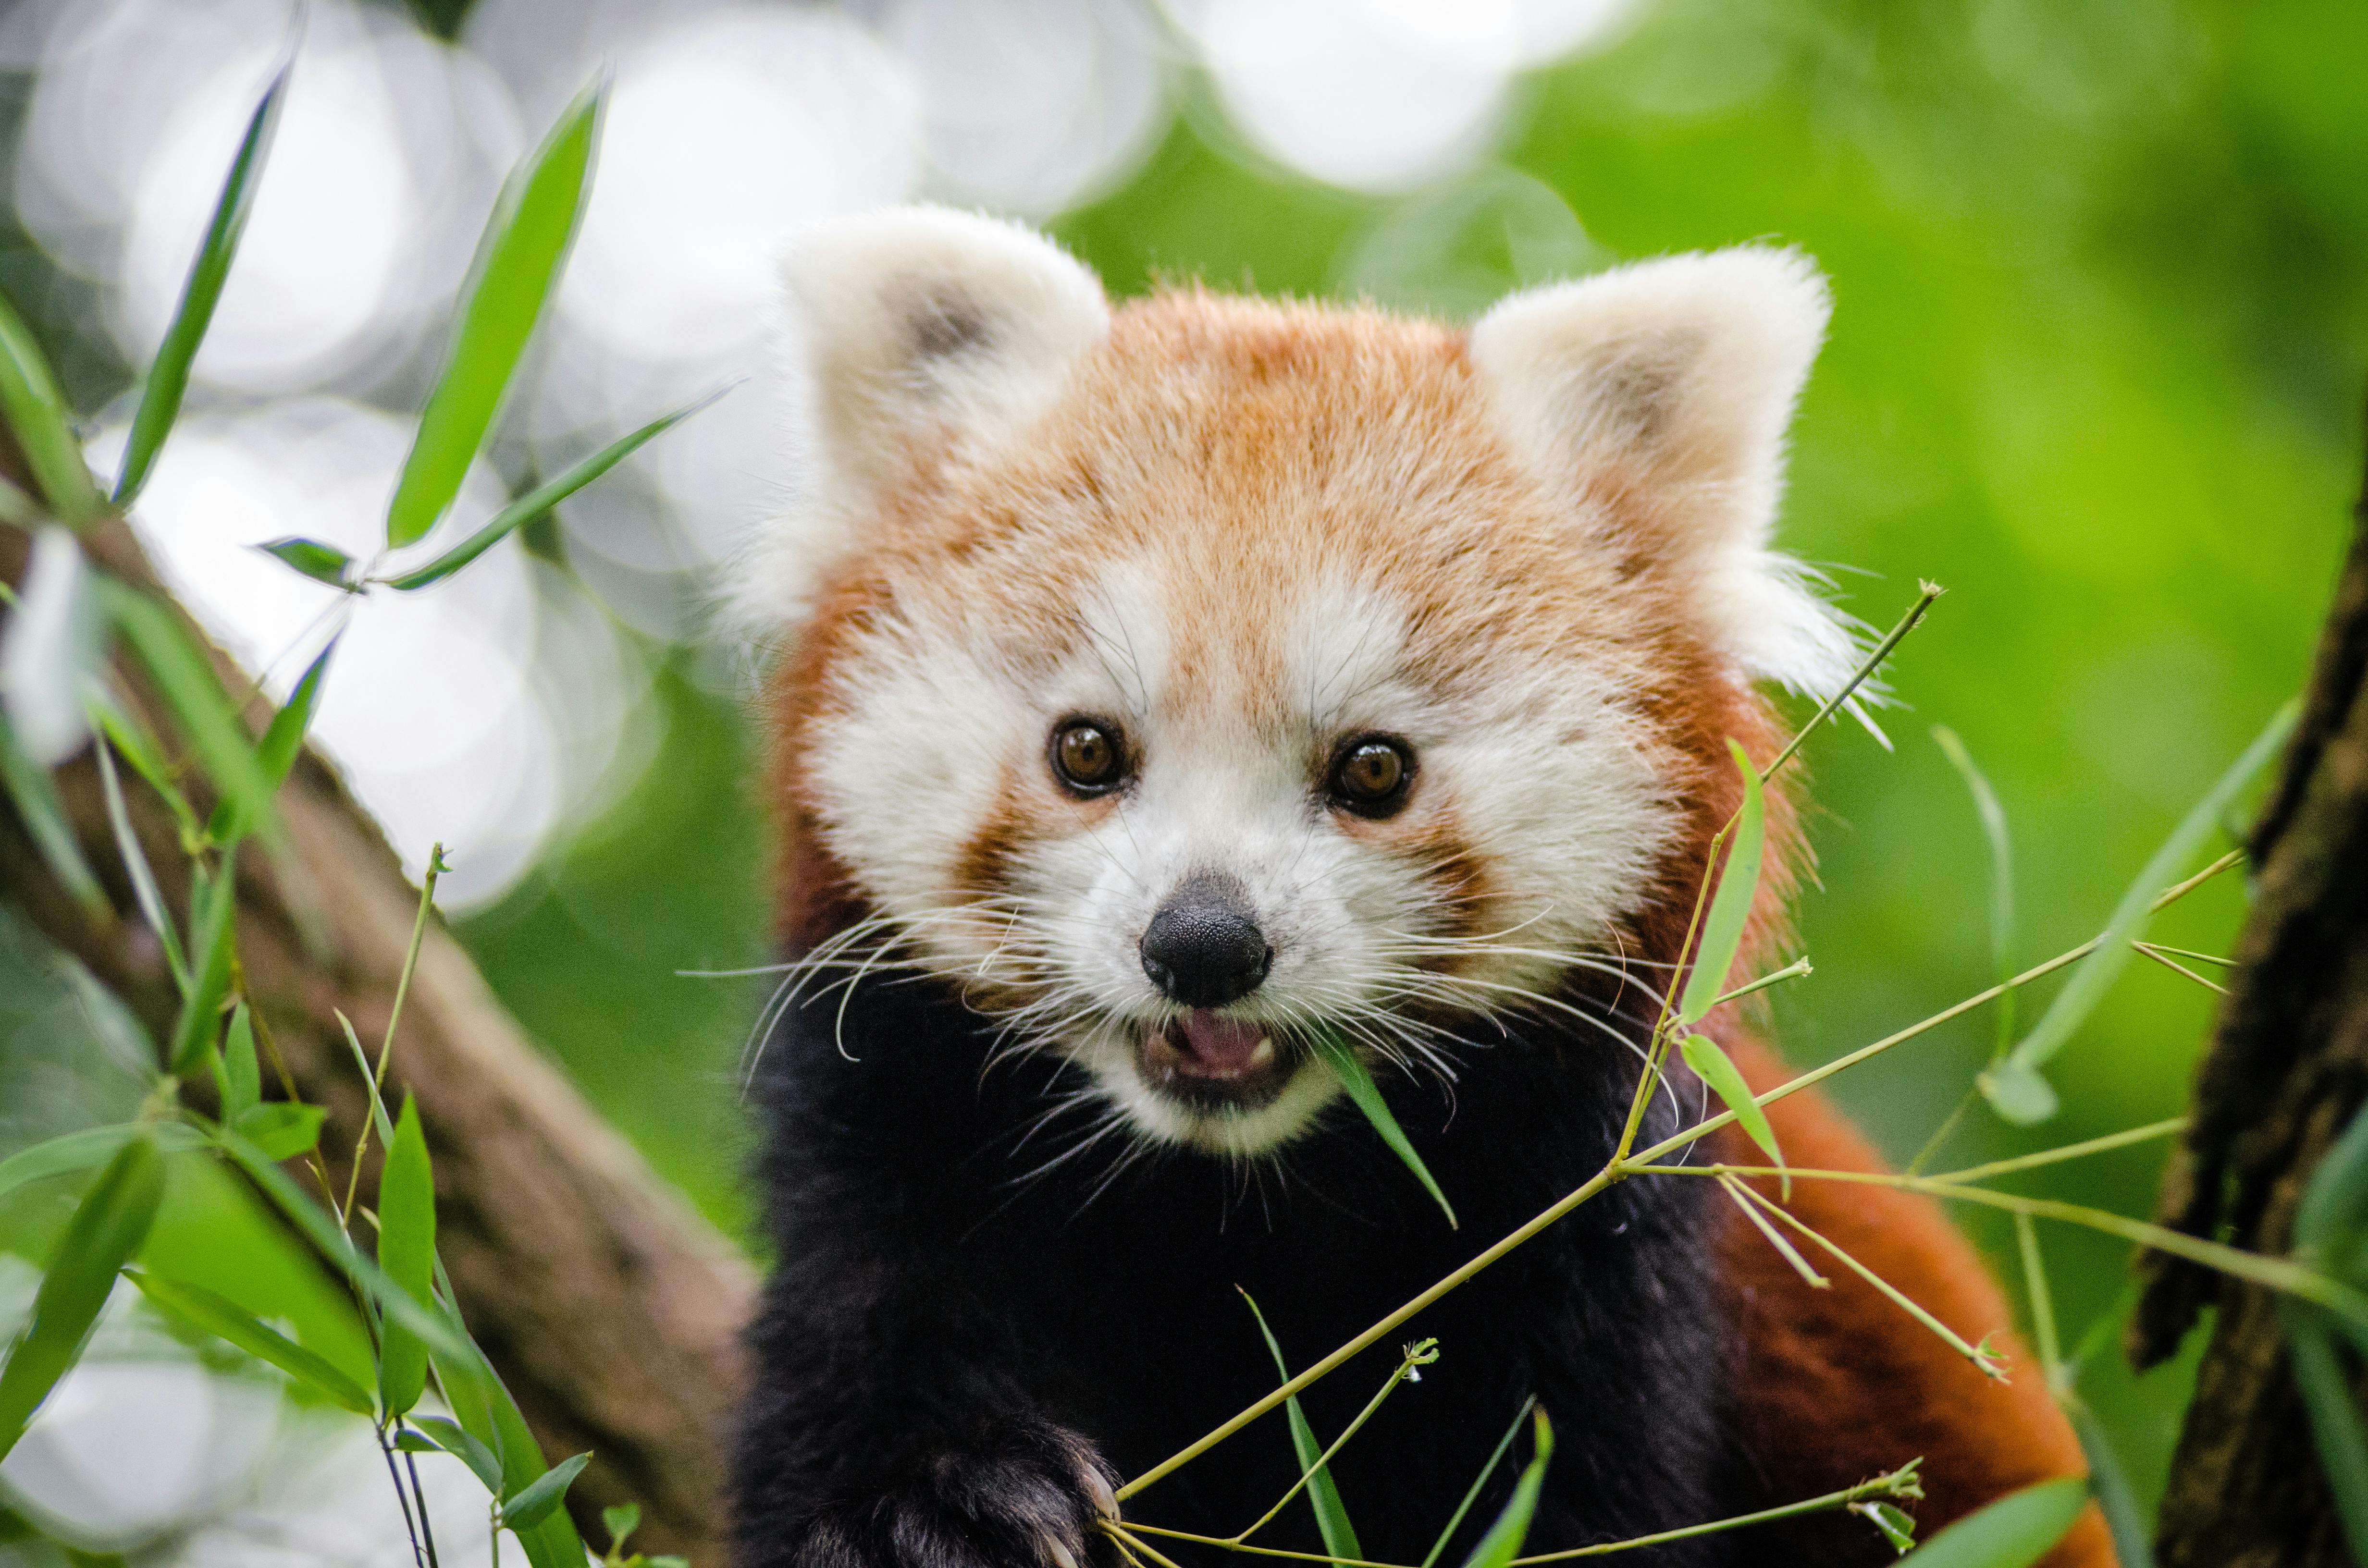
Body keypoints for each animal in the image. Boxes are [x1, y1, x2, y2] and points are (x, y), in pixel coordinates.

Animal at [724, 208, 2112, 1568]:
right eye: (1087, 751)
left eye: (1375, 769)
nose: (1206, 943)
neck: (1231, 1196)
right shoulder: (898, 1147)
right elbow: (877, 1335)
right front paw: (942, 1504)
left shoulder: (1585, 1249)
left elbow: (1543, 1501)